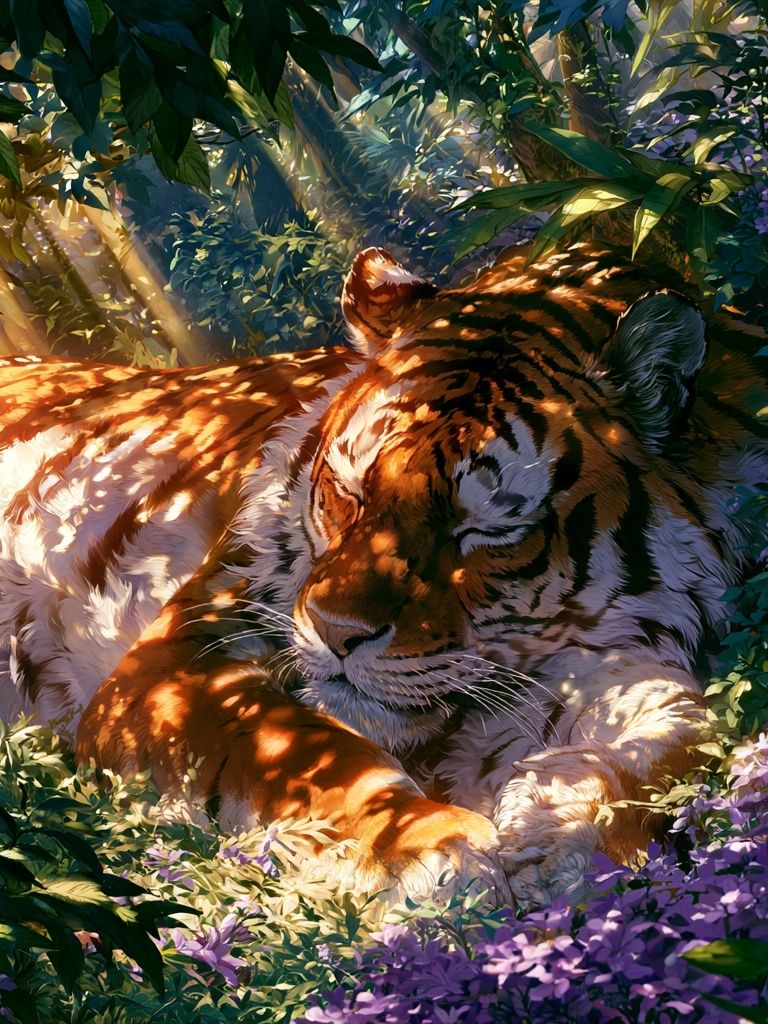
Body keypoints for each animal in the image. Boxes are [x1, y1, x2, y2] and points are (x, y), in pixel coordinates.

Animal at [0, 243, 765, 907]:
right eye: (348, 493)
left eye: (487, 530)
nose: (338, 633)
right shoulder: (177, 662)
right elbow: (309, 754)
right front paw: (439, 855)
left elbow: (676, 725)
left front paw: (560, 830)